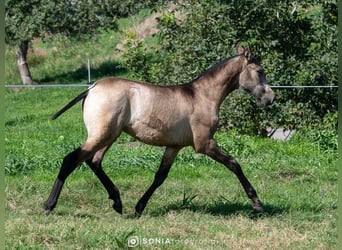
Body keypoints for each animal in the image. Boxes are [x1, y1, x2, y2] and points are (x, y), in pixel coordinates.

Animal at [43, 44, 276, 217]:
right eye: (260, 71)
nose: (270, 98)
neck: (203, 96)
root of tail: (91, 89)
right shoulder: (205, 144)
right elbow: (234, 164)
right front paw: (257, 204)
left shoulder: (173, 147)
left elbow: (160, 177)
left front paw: (139, 208)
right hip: (102, 135)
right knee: (71, 159)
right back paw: (49, 205)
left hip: (109, 136)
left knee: (94, 161)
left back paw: (117, 202)